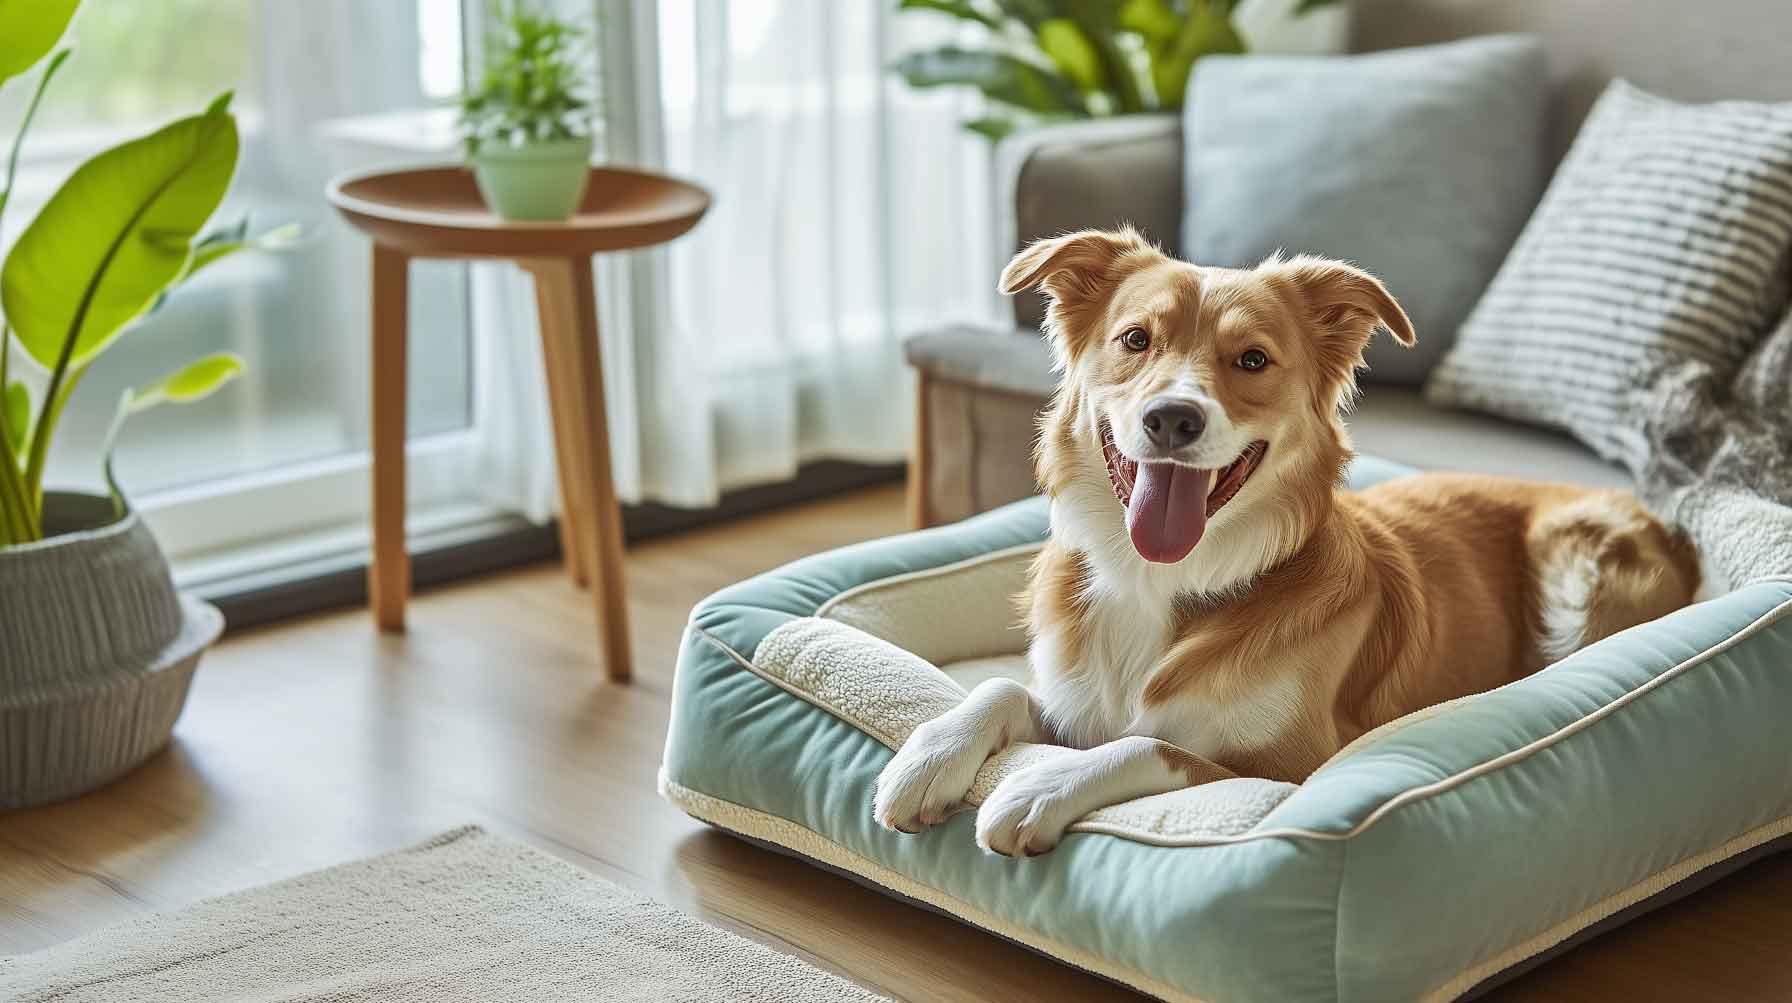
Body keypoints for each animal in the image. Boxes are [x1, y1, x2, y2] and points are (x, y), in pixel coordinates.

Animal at [874, 231, 1698, 859]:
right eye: (1136, 340)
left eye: (1252, 360)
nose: (1172, 419)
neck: (1161, 582)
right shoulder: (1075, 706)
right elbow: (1003, 687)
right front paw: (930, 755)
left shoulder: (1290, 773)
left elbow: (1150, 745)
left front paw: (1039, 786)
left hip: (1577, 573)